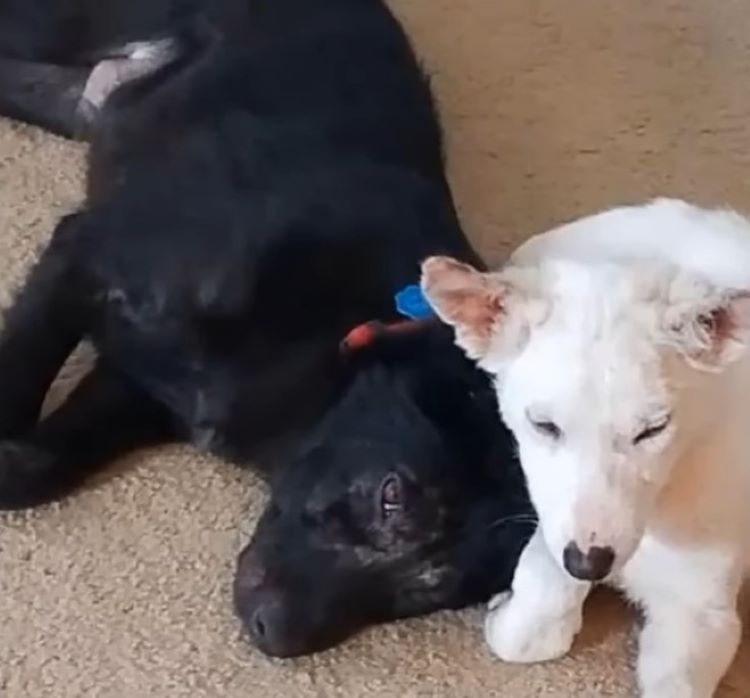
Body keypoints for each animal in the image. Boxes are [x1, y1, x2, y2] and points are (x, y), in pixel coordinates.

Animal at [0, 0, 536, 656]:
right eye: (392, 496)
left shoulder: (141, 387)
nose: (273, 634)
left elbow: (33, 469)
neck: (325, 346)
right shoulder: (85, 256)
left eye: (434, 590)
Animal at [420, 198, 750, 696]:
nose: (590, 566)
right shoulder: (554, 527)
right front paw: (508, 612)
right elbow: (530, 625)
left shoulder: (702, 614)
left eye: (654, 429)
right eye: (543, 426)